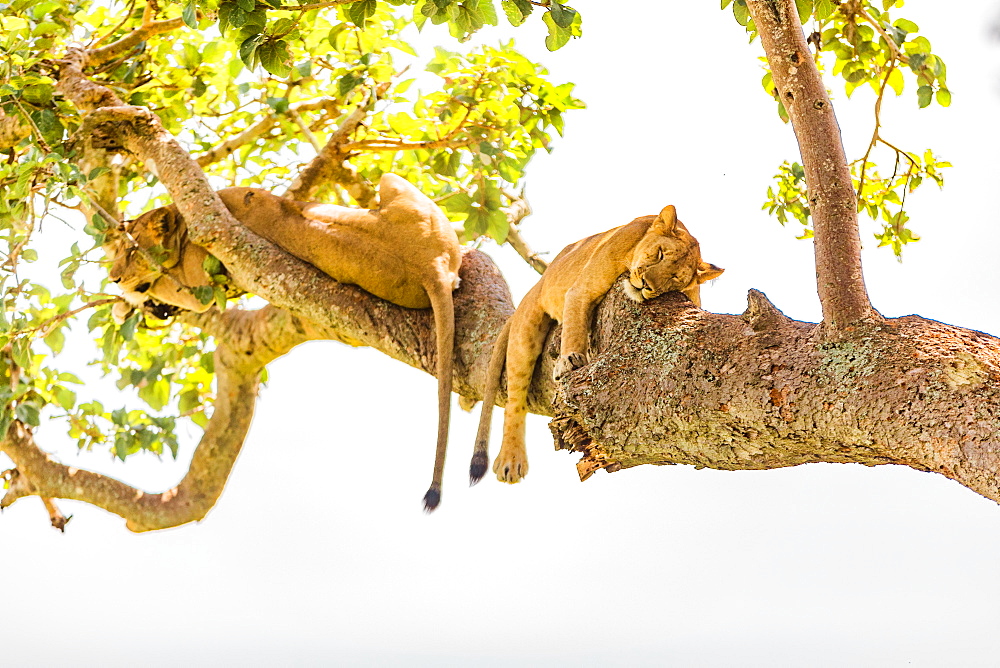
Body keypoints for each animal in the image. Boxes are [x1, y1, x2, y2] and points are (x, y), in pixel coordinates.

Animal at [103, 174, 462, 512]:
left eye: (132, 252)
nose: (113, 276)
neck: (182, 223)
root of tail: (434, 267)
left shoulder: (199, 285)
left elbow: (157, 288)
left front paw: (126, 299)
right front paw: (133, 303)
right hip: (395, 185)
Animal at [468, 205, 720, 486]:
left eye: (674, 278)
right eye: (660, 253)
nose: (646, 285)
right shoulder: (581, 290)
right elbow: (574, 327)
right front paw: (568, 362)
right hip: (526, 328)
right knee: (514, 399)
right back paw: (511, 460)